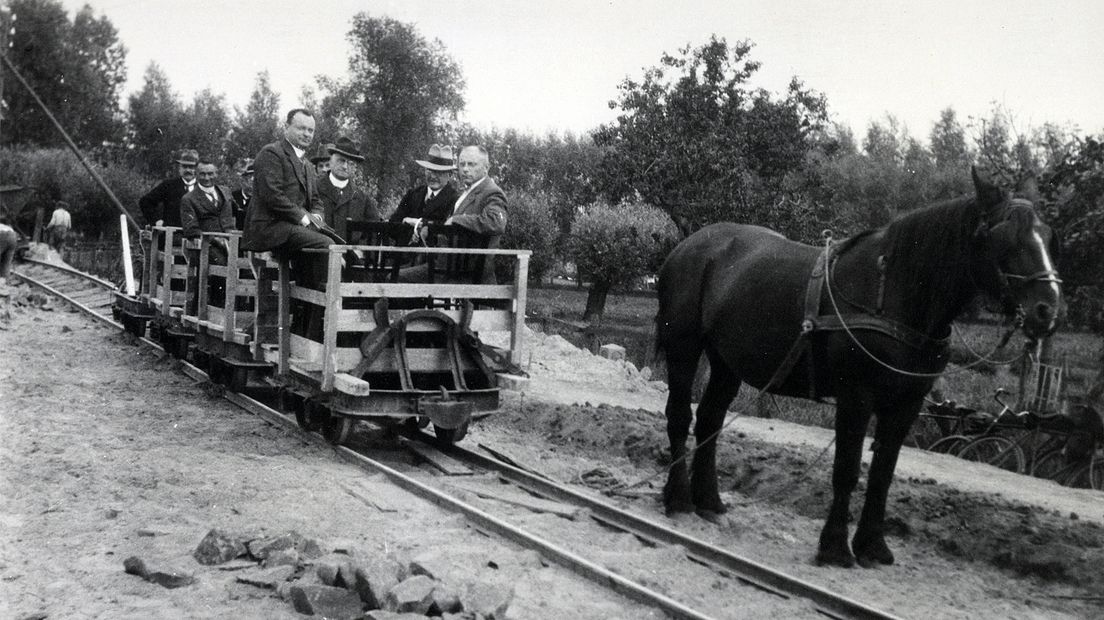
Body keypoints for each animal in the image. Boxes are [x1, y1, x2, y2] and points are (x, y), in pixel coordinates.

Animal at [653, 167, 1059, 564]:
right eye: (1003, 236)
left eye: (1046, 235)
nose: (1047, 309)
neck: (892, 294)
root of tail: (689, 246)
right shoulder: (856, 398)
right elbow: (847, 471)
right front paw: (834, 546)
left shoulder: (906, 405)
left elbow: (882, 474)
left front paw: (872, 545)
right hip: (684, 348)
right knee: (680, 416)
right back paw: (678, 498)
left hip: (726, 363)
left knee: (710, 420)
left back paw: (709, 501)